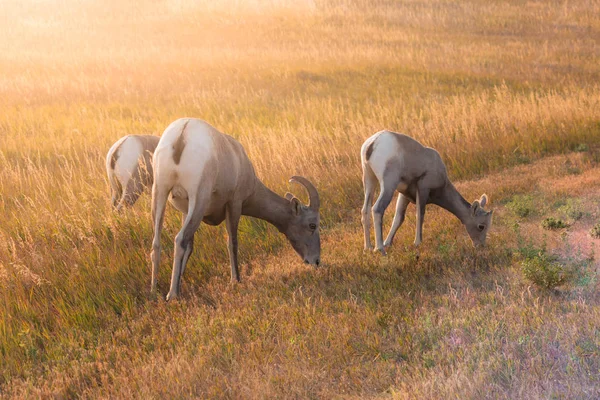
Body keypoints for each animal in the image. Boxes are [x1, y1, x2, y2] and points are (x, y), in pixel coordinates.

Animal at [150, 118, 322, 300]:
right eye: (312, 225)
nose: (316, 261)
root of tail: (182, 135)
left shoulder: (185, 210)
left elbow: (190, 247)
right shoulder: (234, 204)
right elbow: (232, 242)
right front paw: (236, 280)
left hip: (160, 194)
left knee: (157, 243)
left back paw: (154, 291)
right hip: (198, 200)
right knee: (180, 238)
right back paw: (173, 295)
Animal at [360, 131, 492, 256]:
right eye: (481, 226)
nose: (481, 246)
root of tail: (372, 143)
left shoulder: (403, 195)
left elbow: (399, 218)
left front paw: (388, 243)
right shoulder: (423, 189)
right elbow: (420, 214)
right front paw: (417, 243)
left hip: (369, 180)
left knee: (365, 210)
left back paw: (368, 248)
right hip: (388, 185)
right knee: (377, 209)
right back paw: (380, 250)